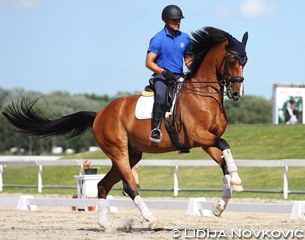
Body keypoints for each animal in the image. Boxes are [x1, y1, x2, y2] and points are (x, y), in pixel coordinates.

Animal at [2, 26, 247, 232]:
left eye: (245, 60)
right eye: (232, 59)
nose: (236, 93)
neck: (203, 95)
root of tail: (99, 114)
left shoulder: (207, 141)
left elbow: (224, 161)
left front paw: (221, 204)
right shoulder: (198, 137)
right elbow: (225, 146)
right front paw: (237, 179)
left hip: (131, 154)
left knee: (102, 185)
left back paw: (105, 225)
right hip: (118, 150)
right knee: (129, 187)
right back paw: (152, 221)